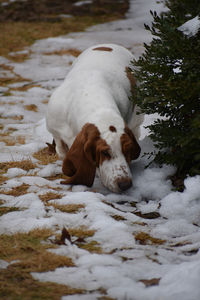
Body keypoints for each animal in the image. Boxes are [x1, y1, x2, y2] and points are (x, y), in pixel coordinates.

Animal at [46, 43, 143, 193]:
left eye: (128, 149)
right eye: (104, 152)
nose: (125, 185)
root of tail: (109, 44)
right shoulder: (55, 131)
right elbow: (61, 150)